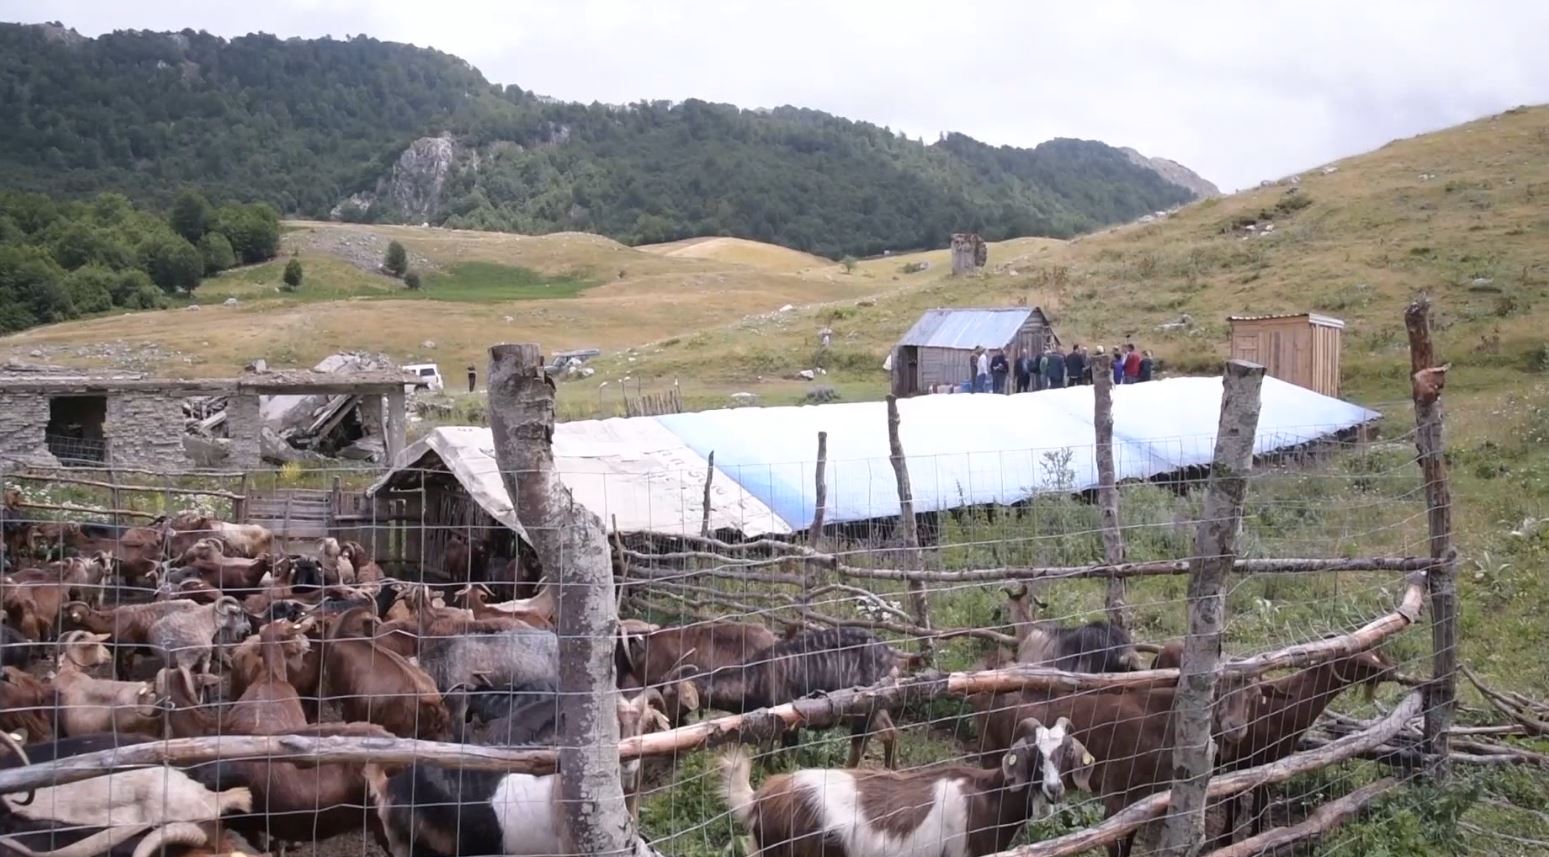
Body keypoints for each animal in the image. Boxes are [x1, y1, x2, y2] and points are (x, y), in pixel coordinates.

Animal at [681, 626, 917, 765]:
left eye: (675, 694)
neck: (756, 677)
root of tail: (892, 654)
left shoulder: (787, 726)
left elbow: (782, 760)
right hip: (876, 708)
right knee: (890, 734)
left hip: (865, 711)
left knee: (862, 746)